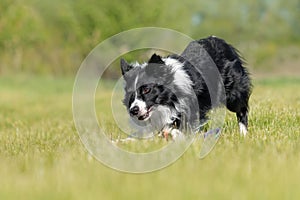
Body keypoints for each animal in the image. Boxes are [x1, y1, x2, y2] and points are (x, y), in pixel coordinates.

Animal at [120, 36, 252, 139]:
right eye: (130, 94)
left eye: (146, 90)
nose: (133, 110)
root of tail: (220, 41)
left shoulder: (192, 109)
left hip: (233, 94)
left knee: (242, 110)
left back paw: (243, 134)